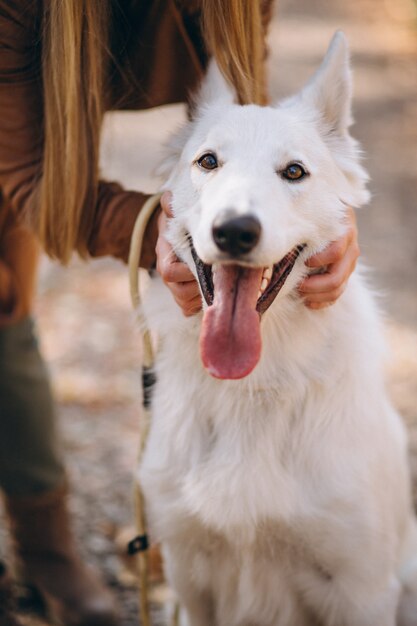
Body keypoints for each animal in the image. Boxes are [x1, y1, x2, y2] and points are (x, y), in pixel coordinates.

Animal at [138, 34, 416, 624]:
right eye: (208, 162)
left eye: (293, 172)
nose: (235, 231)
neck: (255, 387)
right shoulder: (189, 579)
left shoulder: (362, 590)